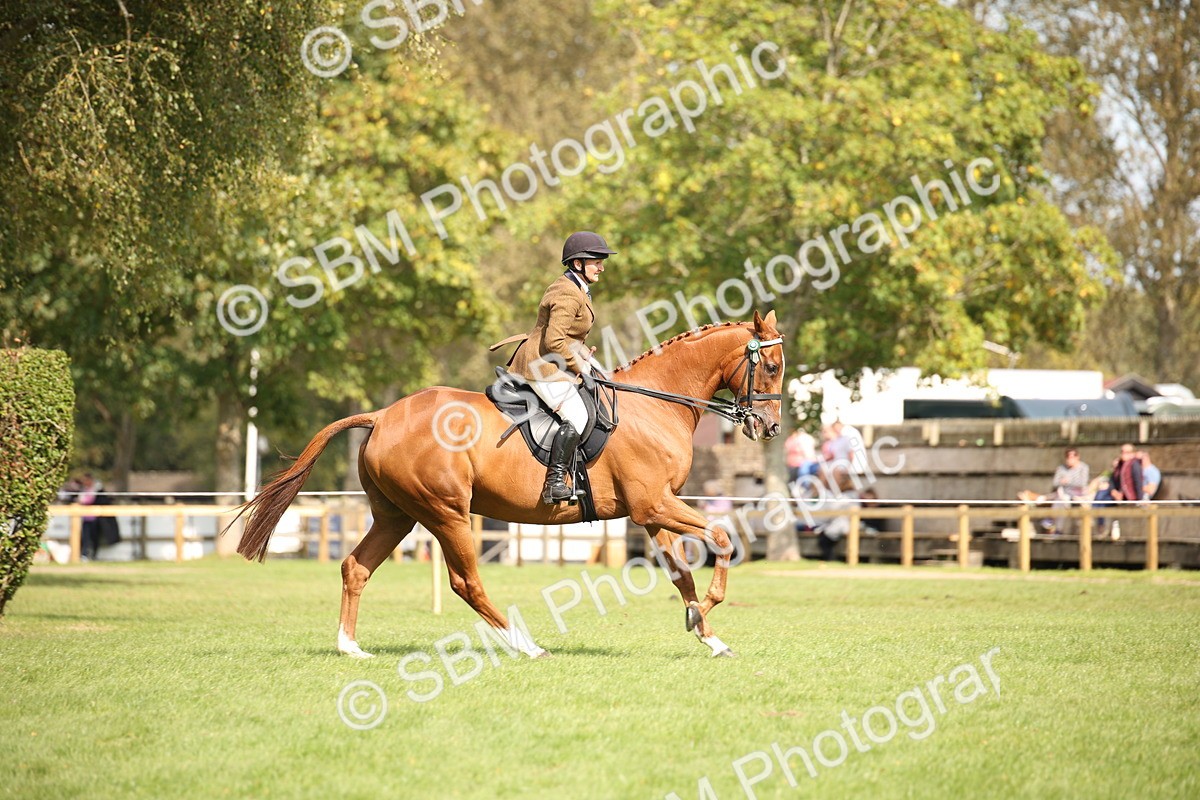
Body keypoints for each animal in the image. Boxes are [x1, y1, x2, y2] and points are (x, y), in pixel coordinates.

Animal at [233, 310, 785, 658]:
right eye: (773, 367)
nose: (770, 428)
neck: (655, 404)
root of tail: (383, 415)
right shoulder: (654, 505)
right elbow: (722, 538)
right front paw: (705, 612)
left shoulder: (653, 512)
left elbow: (681, 575)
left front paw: (708, 636)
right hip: (446, 513)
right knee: (466, 583)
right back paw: (526, 644)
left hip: (398, 516)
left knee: (356, 567)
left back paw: (350, 648)